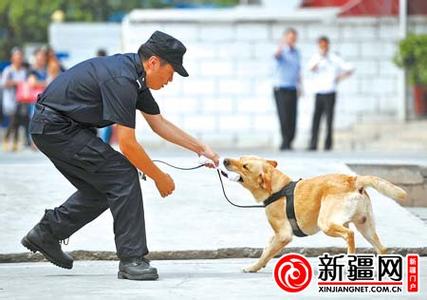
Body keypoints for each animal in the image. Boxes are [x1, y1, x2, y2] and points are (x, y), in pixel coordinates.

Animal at [224, 156, 408, 274]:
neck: (278, 188)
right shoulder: (276, 234)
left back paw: (350, 262)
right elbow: (266, 249)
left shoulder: (283, 235)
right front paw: (258, 263)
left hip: (327, 223)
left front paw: (253, 267)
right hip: (365, 226)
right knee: (382, 248)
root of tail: (352, 179)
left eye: (245, 166)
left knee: (349, 234)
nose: (225, 160)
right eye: (240, 158)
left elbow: (267, 253)